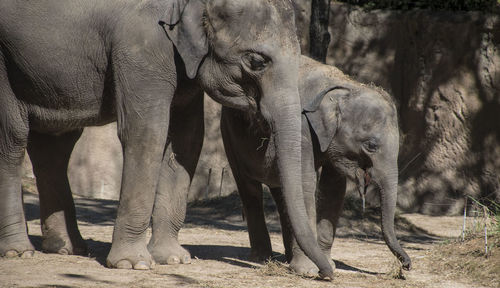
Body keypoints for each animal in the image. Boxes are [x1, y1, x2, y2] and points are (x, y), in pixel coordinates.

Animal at [0, 0, 334, 276]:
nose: (326, 274)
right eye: (256, 61)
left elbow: (187, 141)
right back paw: (19, 252)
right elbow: (148, 131)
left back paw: (66, 248)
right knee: (13, 140)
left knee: (54, 147)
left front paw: (173, 259)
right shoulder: (141, 47)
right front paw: (132, 264)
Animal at [221, 55, 412, 274]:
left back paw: (288, 258)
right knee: (249, 188)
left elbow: (334, 188)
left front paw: (327, 264)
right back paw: (262, 258)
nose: (406, 266)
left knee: (283, 192)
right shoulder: (301, 126)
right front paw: (310, 271)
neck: (342, 87)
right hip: (228, 135)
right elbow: (306, 182)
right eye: (371, 145)